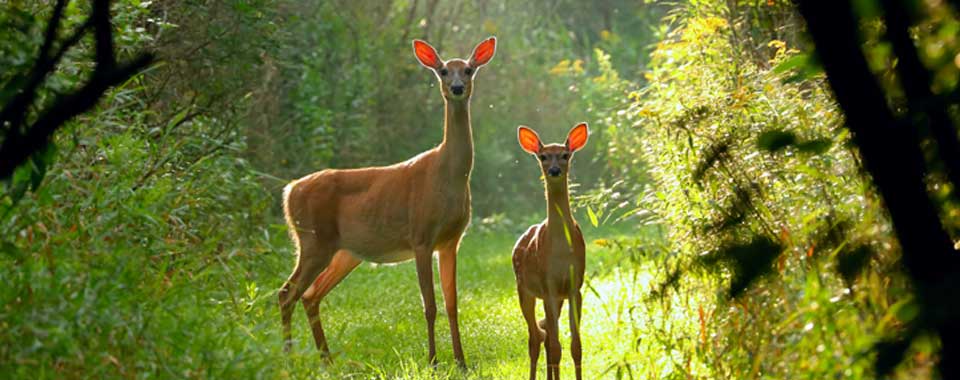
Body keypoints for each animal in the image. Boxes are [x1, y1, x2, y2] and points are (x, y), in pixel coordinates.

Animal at [276, 37, 496, 366]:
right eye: (444, 70)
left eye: (468, 70)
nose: (457, 88)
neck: (447, 176)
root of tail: (289, 191)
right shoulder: (421, 235)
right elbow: (429, 305)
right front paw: (433, 360)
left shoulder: (451, 241)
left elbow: (452, 304)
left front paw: (461, 362)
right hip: (313, 240)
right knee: (286, 292)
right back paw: (290, 359)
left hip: (344, 252)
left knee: (310, 295)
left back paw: (326, 359)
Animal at [512, 124, 588, 380]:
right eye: (543, 156)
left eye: (565, 155)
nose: (554, 170)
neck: (562, 251)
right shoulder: (549, 287)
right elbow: (556, 345)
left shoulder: (574, 287)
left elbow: (575, 346)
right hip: (524, 289)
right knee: (536, 338)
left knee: (545, 334)